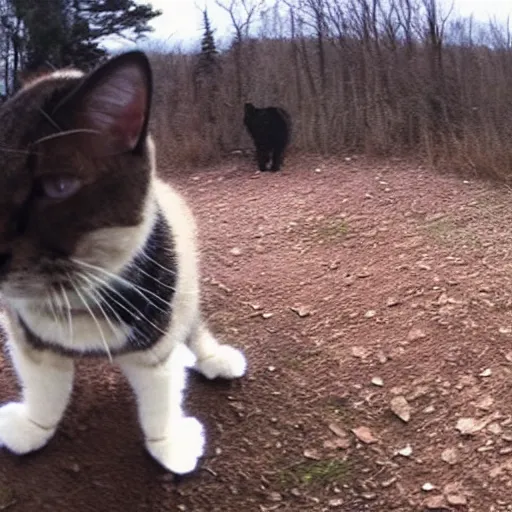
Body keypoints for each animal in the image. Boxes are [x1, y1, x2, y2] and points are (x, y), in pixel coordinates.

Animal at [0, 50, 246, 474]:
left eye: (58, 187)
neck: (74, 298)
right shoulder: (25, 335)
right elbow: (44, 389)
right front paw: (34, 427)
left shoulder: (156, 339)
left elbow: (160, 398)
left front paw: (168, 444)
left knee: (193, 327)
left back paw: (211, 357)